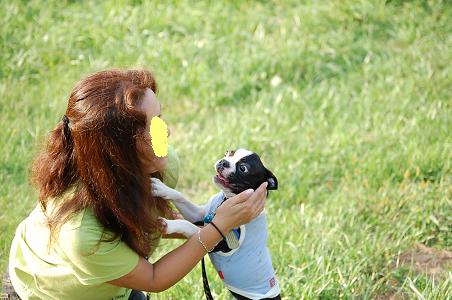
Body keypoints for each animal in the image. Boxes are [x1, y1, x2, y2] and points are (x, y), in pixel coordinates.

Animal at [152, 149, 278, 298]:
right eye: (228, 153)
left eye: (243, 168)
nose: (224, 162)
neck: (226, 199)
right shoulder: (200, 214)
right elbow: (180, 197)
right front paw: (161, 188)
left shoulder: (218, 242)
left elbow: (187, 225)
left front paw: (169, 225)